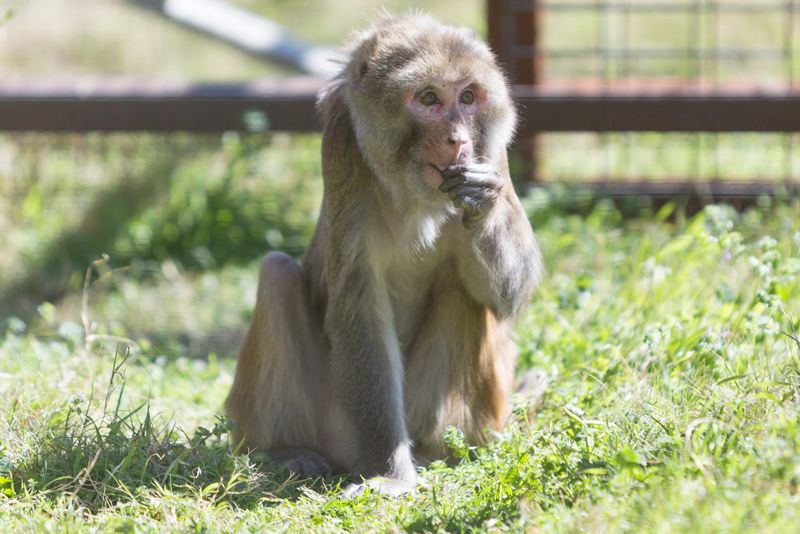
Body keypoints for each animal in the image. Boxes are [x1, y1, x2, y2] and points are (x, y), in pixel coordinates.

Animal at [222, 13, 540, 498]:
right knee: (277, 275)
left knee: (461, 291)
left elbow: (510, 296)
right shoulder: (343, 150)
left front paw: (483, 202)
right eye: (428, 98)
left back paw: (430, 453)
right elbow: (360, 306)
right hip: (336, 421)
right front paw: (388, 472)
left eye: (468, 97)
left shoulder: (493, 157)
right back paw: (288, 450)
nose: (457, 140)